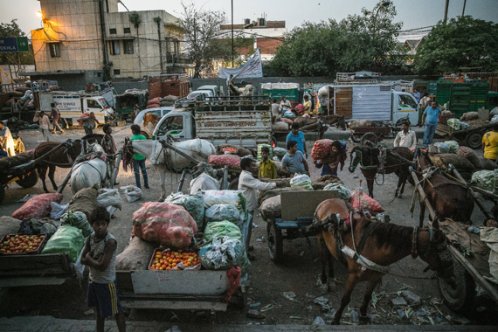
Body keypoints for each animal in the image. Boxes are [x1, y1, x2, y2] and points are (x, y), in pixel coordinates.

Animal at [316, 197, 456, 324]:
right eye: (440, 249)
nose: (451, 276)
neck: (372, 246)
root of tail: (326, 201)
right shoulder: (353, 276)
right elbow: (345, 299)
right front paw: (336, 320)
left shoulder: (375, 276)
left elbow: (367, 297)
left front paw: (363, 315)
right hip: (321, 239)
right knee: (323, 259)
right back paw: (324, 280)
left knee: (330, 256)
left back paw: (332, 277)